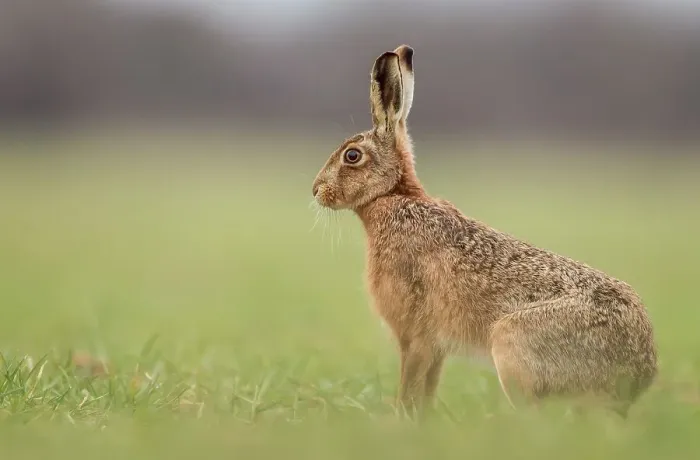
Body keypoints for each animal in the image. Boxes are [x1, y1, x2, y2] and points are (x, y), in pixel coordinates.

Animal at [311, 45, 657, 417]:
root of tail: (636, 375)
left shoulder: (415, 336)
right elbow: (426, 391)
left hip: (512, 345)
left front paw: (399, 420)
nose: (316, 190)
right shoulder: (434, 348)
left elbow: (409, 387)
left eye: (352, 156)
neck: (393, 195)